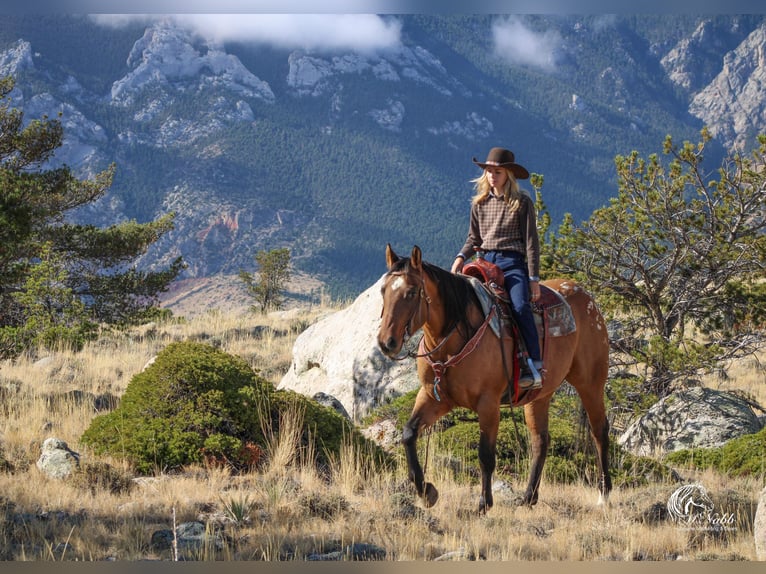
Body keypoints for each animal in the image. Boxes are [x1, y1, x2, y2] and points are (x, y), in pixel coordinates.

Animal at [378, 245, 612, 516]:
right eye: (383, 291)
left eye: (412, 292)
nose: (387, 343)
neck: (453, 338)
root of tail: (586, 296)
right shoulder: (434, 398)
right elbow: (409, 434)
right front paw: (427, 492)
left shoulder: (488, 404)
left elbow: (486, 455)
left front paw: (483, 504)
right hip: (539, 396)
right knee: (540, 441)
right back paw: (528, 497)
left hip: (590, 383)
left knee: (599, 431)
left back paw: (603, 494)